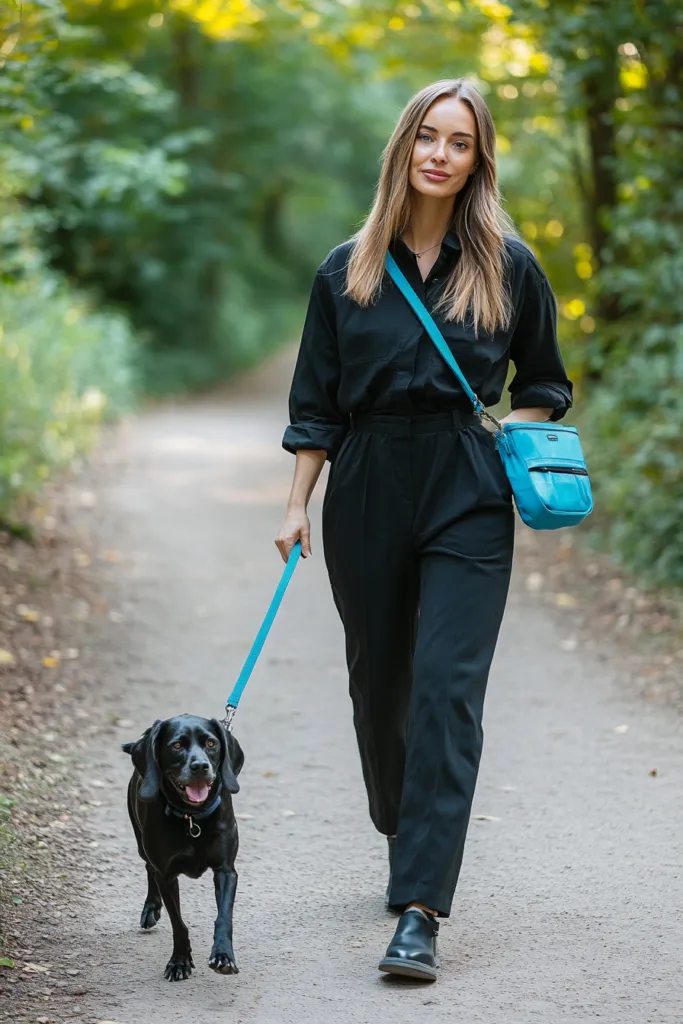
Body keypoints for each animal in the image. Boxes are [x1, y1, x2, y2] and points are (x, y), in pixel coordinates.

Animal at [123, 716, 245, 978]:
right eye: (177, 746)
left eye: (211, 743)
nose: (200, 766)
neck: (192, 818)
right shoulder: (167, 876)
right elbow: (178, 924)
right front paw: (179, 961)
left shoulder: (226, 870)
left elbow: (224, 917)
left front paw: (223, 955)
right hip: (141, 842)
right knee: (148, 868)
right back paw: (151, 908)